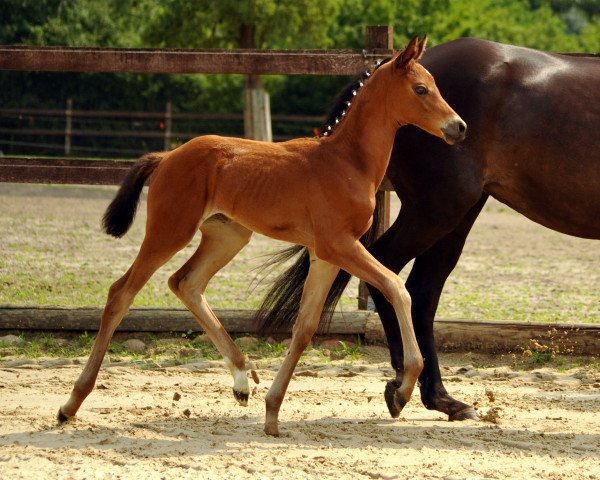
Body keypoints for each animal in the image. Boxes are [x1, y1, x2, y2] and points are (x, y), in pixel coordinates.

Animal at [58, 36, 466, 436]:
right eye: (421, 88)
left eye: (435, 84)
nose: (459, 126)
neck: (348, 161)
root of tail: (166, 156)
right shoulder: (340, 245)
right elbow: (396, 287)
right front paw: (402, 389)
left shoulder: (325, 255)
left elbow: (304, 328)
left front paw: (272, 413)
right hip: (169, 230)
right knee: (122, 292)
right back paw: (71, 404)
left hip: (227, 236)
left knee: (185, 282)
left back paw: (242, 379)